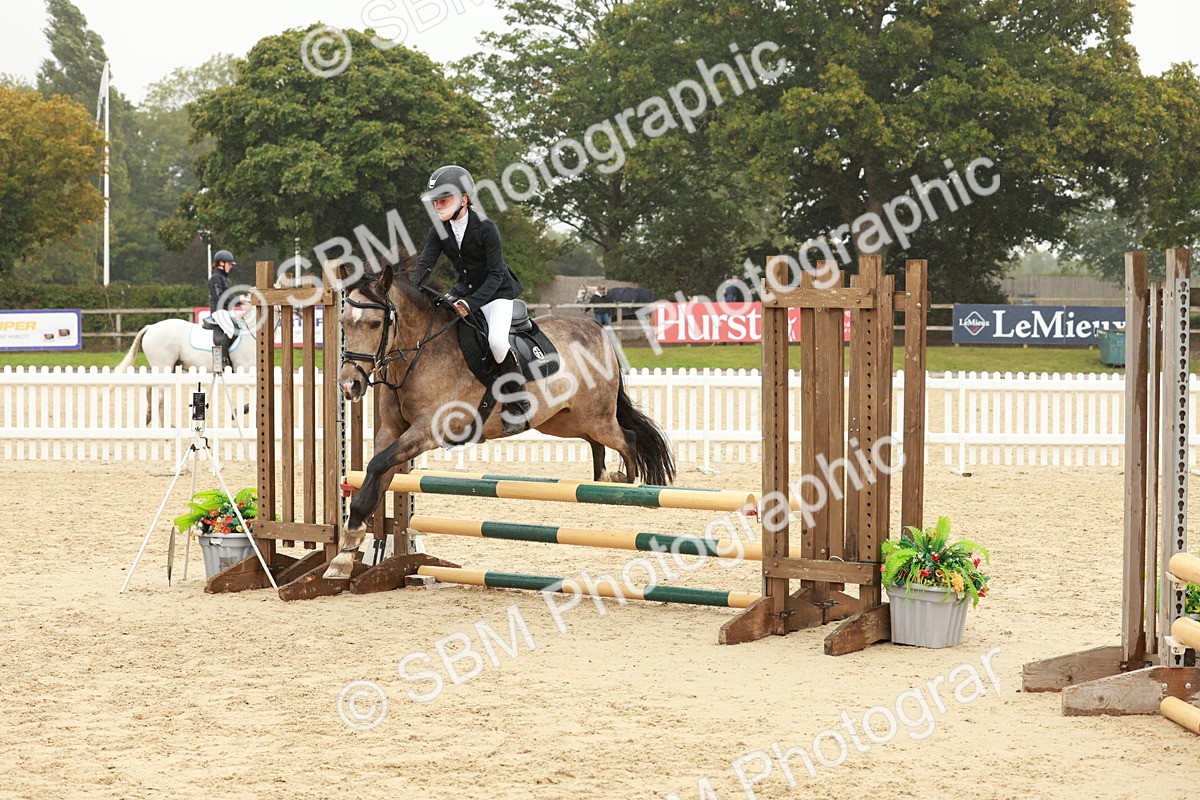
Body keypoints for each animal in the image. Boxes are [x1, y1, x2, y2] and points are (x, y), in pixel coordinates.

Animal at [117, 304, 258, 425]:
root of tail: (151, 327)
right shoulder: (245, 373)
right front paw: (239, 412)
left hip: (167, 369)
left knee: (150, 391)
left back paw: (149, 418)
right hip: (164, 368)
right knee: (160, 398)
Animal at [325, 257, 676, 580]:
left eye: (374, 324)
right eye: (343, 322)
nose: (348, 385)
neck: (419, 353)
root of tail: (598, 332)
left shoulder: (429, 430)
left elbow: (377, 465)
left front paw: (349, 546)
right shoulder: (392, 431)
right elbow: (376, 472)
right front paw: (345, 553)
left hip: (596, 417)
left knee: (627, 439)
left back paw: (627, 486)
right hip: (563, 421)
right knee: (596, 443)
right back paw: (603, 480)